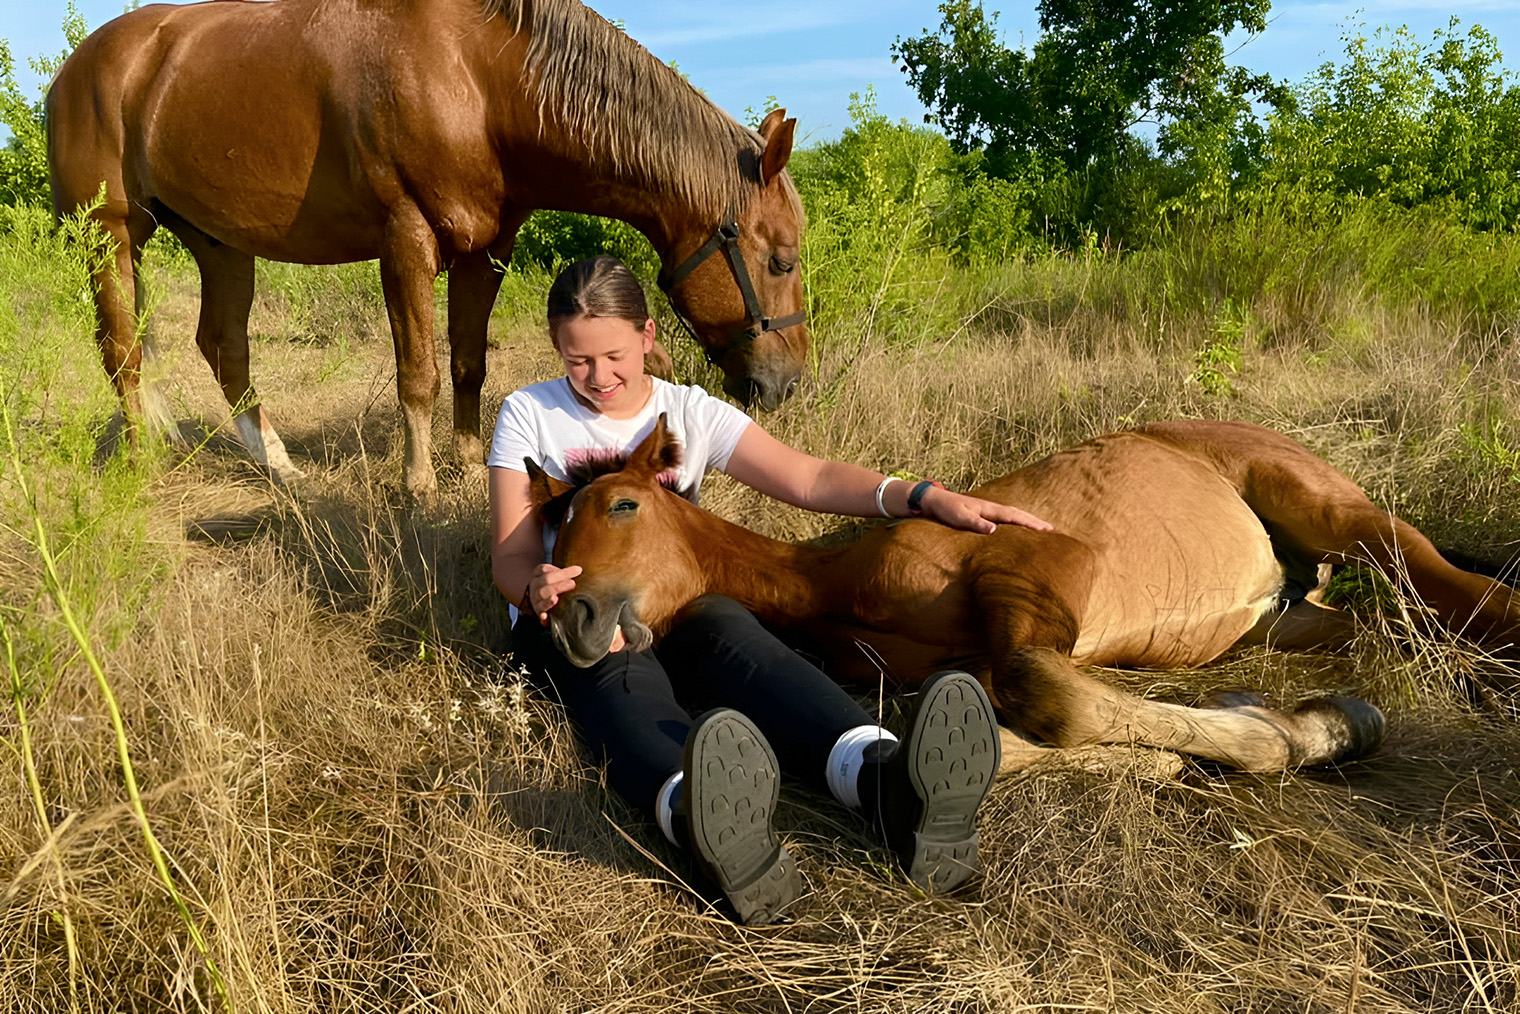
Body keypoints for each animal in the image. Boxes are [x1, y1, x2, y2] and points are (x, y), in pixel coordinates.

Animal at [47, 0, 808, 495]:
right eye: (781, 259)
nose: (788, 385)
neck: (476, 79)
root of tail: (76, 69)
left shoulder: (485, 249)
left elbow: (469, 363)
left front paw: (470, 462)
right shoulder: (405, 239)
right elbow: (420, 373)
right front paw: (418, 485)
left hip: (218, 242)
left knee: (223, 347)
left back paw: (279, 466)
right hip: (109, 233)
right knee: (122, 348)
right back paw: (142, 463)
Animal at [525, 419, 1520, 778]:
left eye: (621, 505)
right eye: (550, 531)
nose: (570, 619)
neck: (841, 586)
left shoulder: (1042, 575)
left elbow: (1056, 701)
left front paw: (1294, 733)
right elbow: (1008, 731)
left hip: (1332, 510)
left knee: (1463, 593)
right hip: (1290, 621)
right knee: (1390, 624)